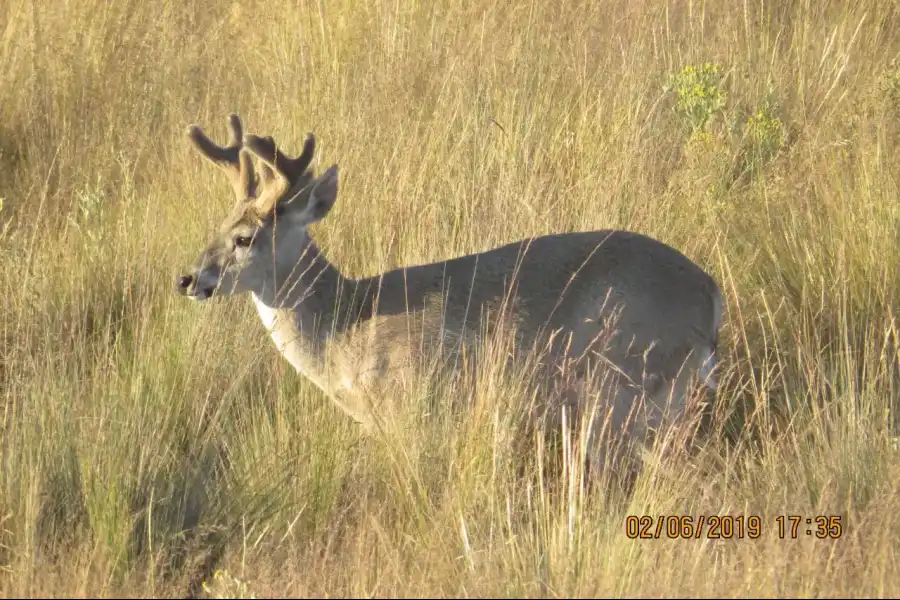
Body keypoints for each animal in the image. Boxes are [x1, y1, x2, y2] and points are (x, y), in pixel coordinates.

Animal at [176, 115, 724, 476]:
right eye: (220, 222)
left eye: (246, 237)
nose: (188, 278)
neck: (344, 330)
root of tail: (710, 294)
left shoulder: (414, 404)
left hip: (624, 385)